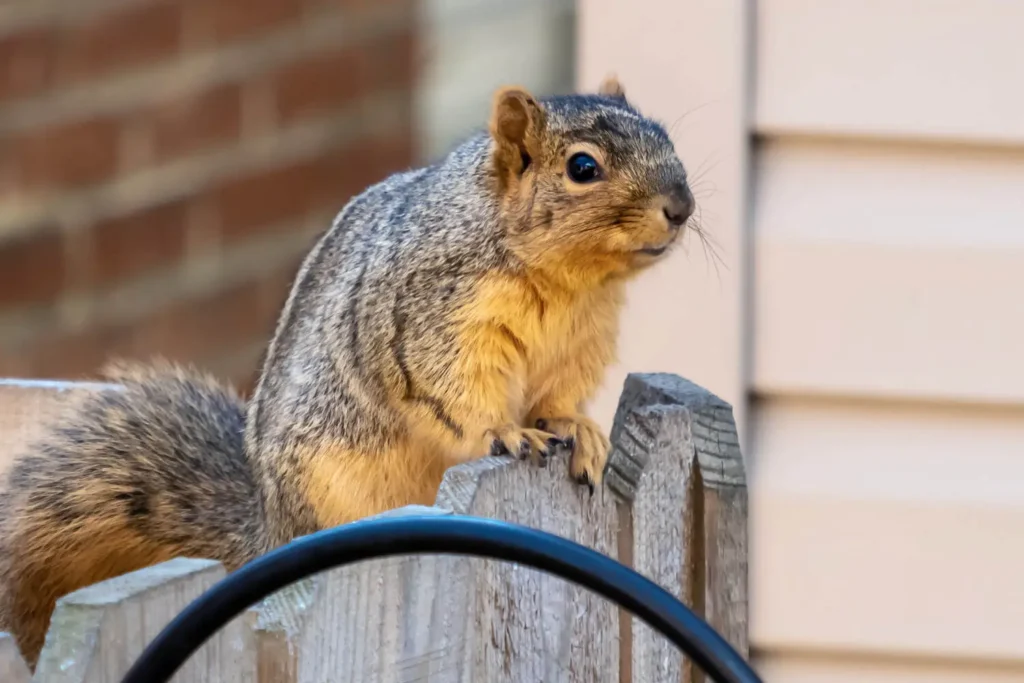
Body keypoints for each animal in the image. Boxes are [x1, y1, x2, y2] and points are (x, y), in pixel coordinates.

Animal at [0, 75, 695, 668]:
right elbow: (454, 392)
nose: (682, 206)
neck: (571, 283)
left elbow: (559, 398)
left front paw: (577, 429)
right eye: (583, 168)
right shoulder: (432, 319)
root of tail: (271, 531)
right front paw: (507, 431)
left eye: (666, 138)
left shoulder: (580, 346)